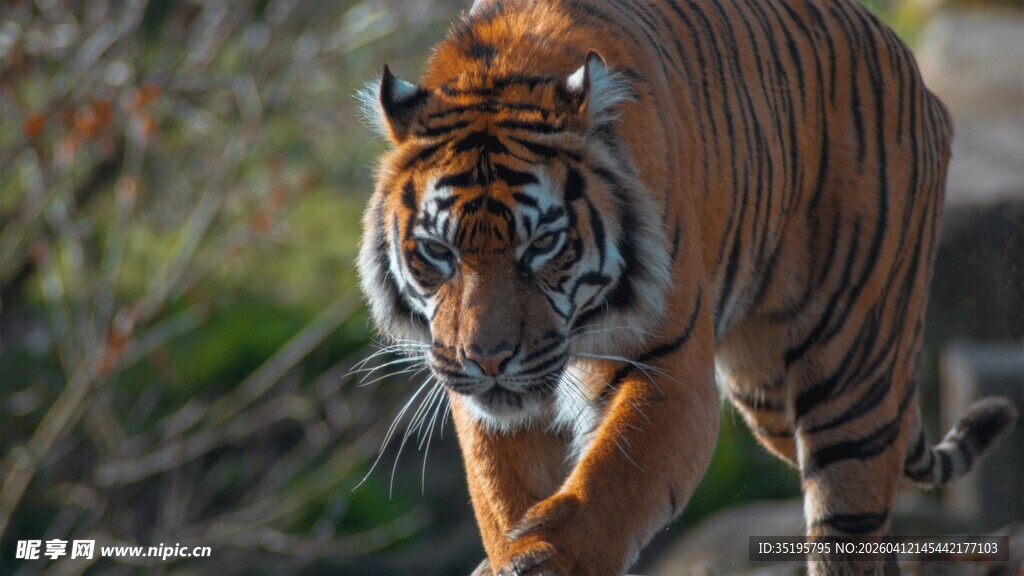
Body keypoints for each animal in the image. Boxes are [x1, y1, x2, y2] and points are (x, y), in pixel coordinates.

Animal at [356, 0, 1018, 574]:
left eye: (541, 243)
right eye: (439, 252)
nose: (488, 359)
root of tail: (911, 67)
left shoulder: (668, 368)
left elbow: (610, 487)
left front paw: (547, 559)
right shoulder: (488, 401)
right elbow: (501, 496)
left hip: (853, 374)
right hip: (769, 398)